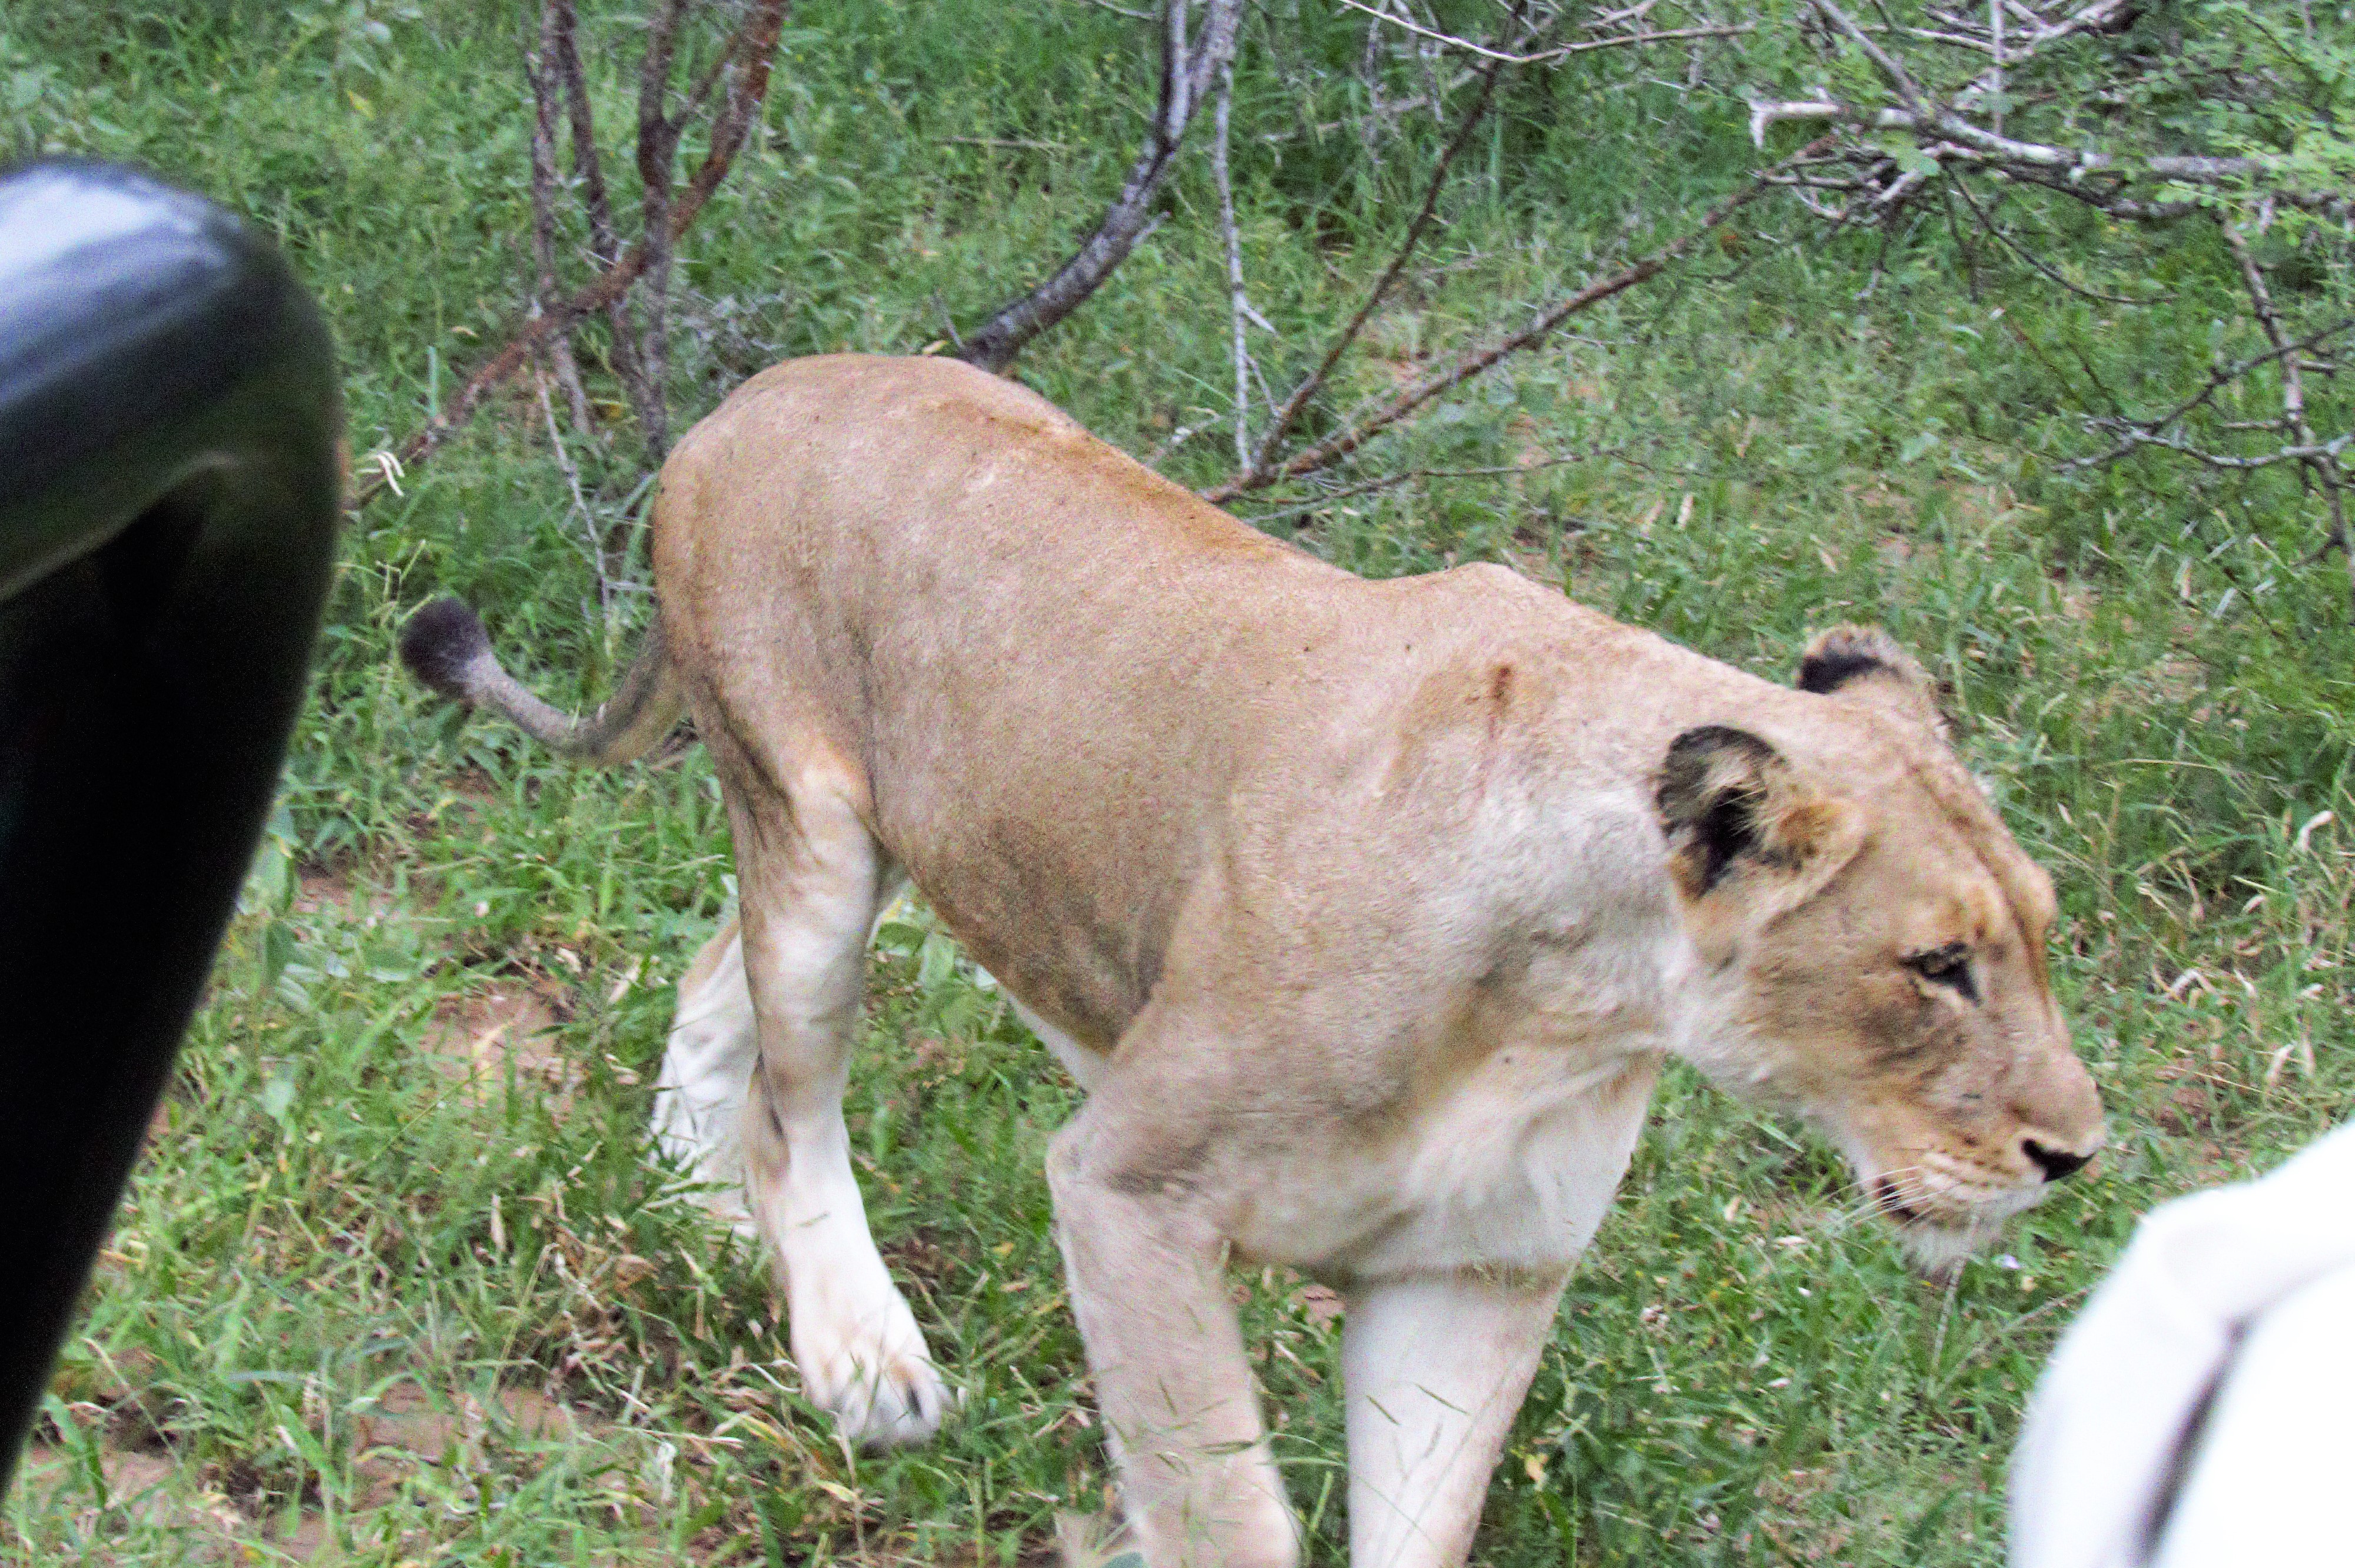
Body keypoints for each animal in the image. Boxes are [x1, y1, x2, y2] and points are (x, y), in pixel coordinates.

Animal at [401, 353, 2102, 1568]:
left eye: (2037, 932)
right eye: (1936, 964)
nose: (2077, 1154)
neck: (1579, 1004)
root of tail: (747, 393)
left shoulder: (1475, 1272)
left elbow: (1420, 1522)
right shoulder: (1129, 1186)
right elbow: (1225, 1508)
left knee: (717, 980)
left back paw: (688, 1203)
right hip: (814, 839)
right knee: (791, 1096)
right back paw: (861, 1356)